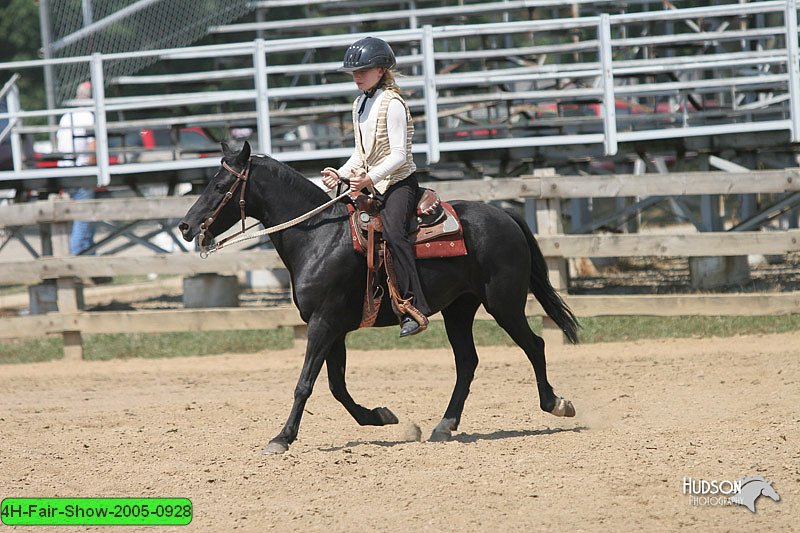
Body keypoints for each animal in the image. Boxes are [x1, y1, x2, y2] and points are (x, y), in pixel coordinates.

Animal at [178, 141, 580, 454]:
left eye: (220, 184)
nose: (185, 226)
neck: (319, 238)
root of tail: (505, 214)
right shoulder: (333, 327)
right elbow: (336, 386)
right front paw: (379, 417)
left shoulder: (323, 323)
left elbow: (305, 383)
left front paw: (281, 438)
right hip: (459, 310)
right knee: (467, 361)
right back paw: (444, 425)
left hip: (504, 303)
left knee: (535, 345)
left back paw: (556, 404)